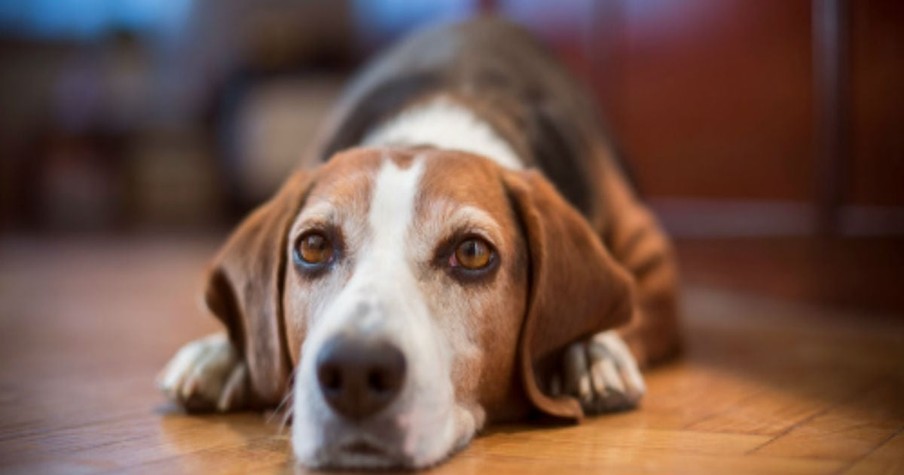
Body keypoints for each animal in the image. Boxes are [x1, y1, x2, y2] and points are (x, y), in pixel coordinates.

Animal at [157, 17, 680, 468]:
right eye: (313, 247)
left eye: (472, 253)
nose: (354, 372)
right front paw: (223, 353)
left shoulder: (651, 257)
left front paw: (591, 351)